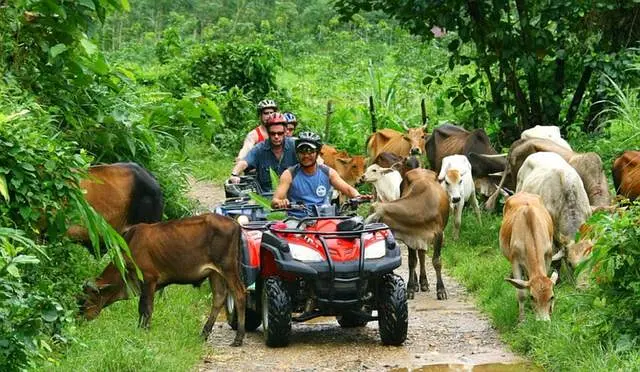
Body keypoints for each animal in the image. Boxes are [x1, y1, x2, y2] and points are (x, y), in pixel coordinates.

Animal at [81, 214, 246, 348]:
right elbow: (143, 308)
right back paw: (204, 334)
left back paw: (238, 338)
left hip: (228, 268)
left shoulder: (149, 279)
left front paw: (144, 331)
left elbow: (145, 308)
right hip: (215, 272)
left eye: (85, 301)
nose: (79, 320)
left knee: (240, 294)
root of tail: (235, 224)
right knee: (219, 297)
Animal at [364, 169, 450, 300]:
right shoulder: (410, 235)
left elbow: (437, 261)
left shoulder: (439, 235)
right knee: (419, 255)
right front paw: (410, 288)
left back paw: (424, 282)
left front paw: (441, 290)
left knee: (422, 255)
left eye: (373, 221)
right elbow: (411, 262)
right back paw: (418, 283)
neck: (422, 207)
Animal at [502, 193, 556, 322]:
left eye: (552, 297)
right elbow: (521, 294)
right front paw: (522, 320)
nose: (543, 322)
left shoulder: (548, 256)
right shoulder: (515, 261)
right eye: (532, 297)